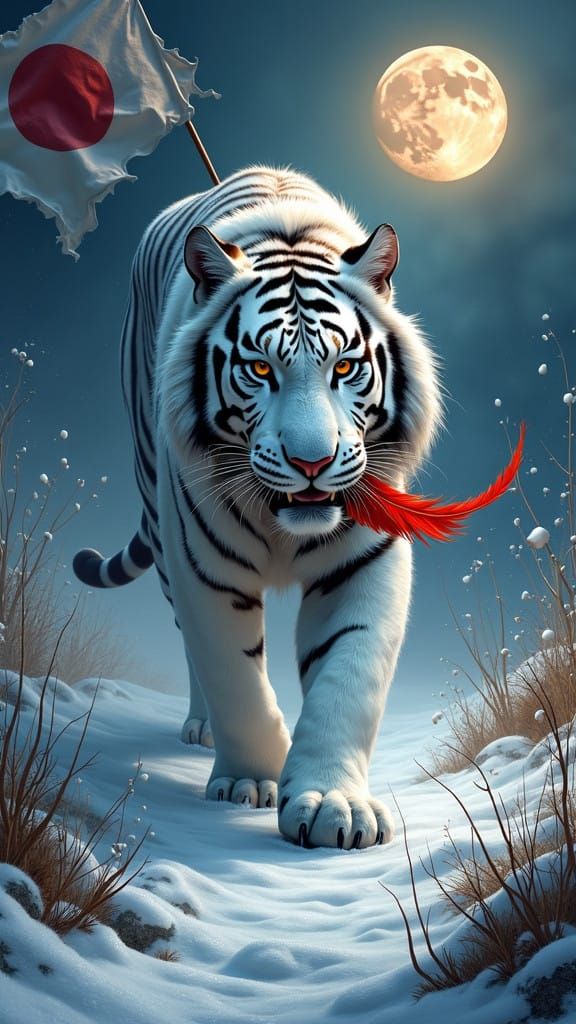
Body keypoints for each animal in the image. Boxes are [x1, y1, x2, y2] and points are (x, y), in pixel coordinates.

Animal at [73, 166, 442, 850]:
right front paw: (250, 780)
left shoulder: (368, 561)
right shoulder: (203, 564)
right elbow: (232, 675)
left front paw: (332, 803)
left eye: (344, 367)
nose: (312, 462)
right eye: (261, 369)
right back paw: (201, 729)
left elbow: (348, 676)